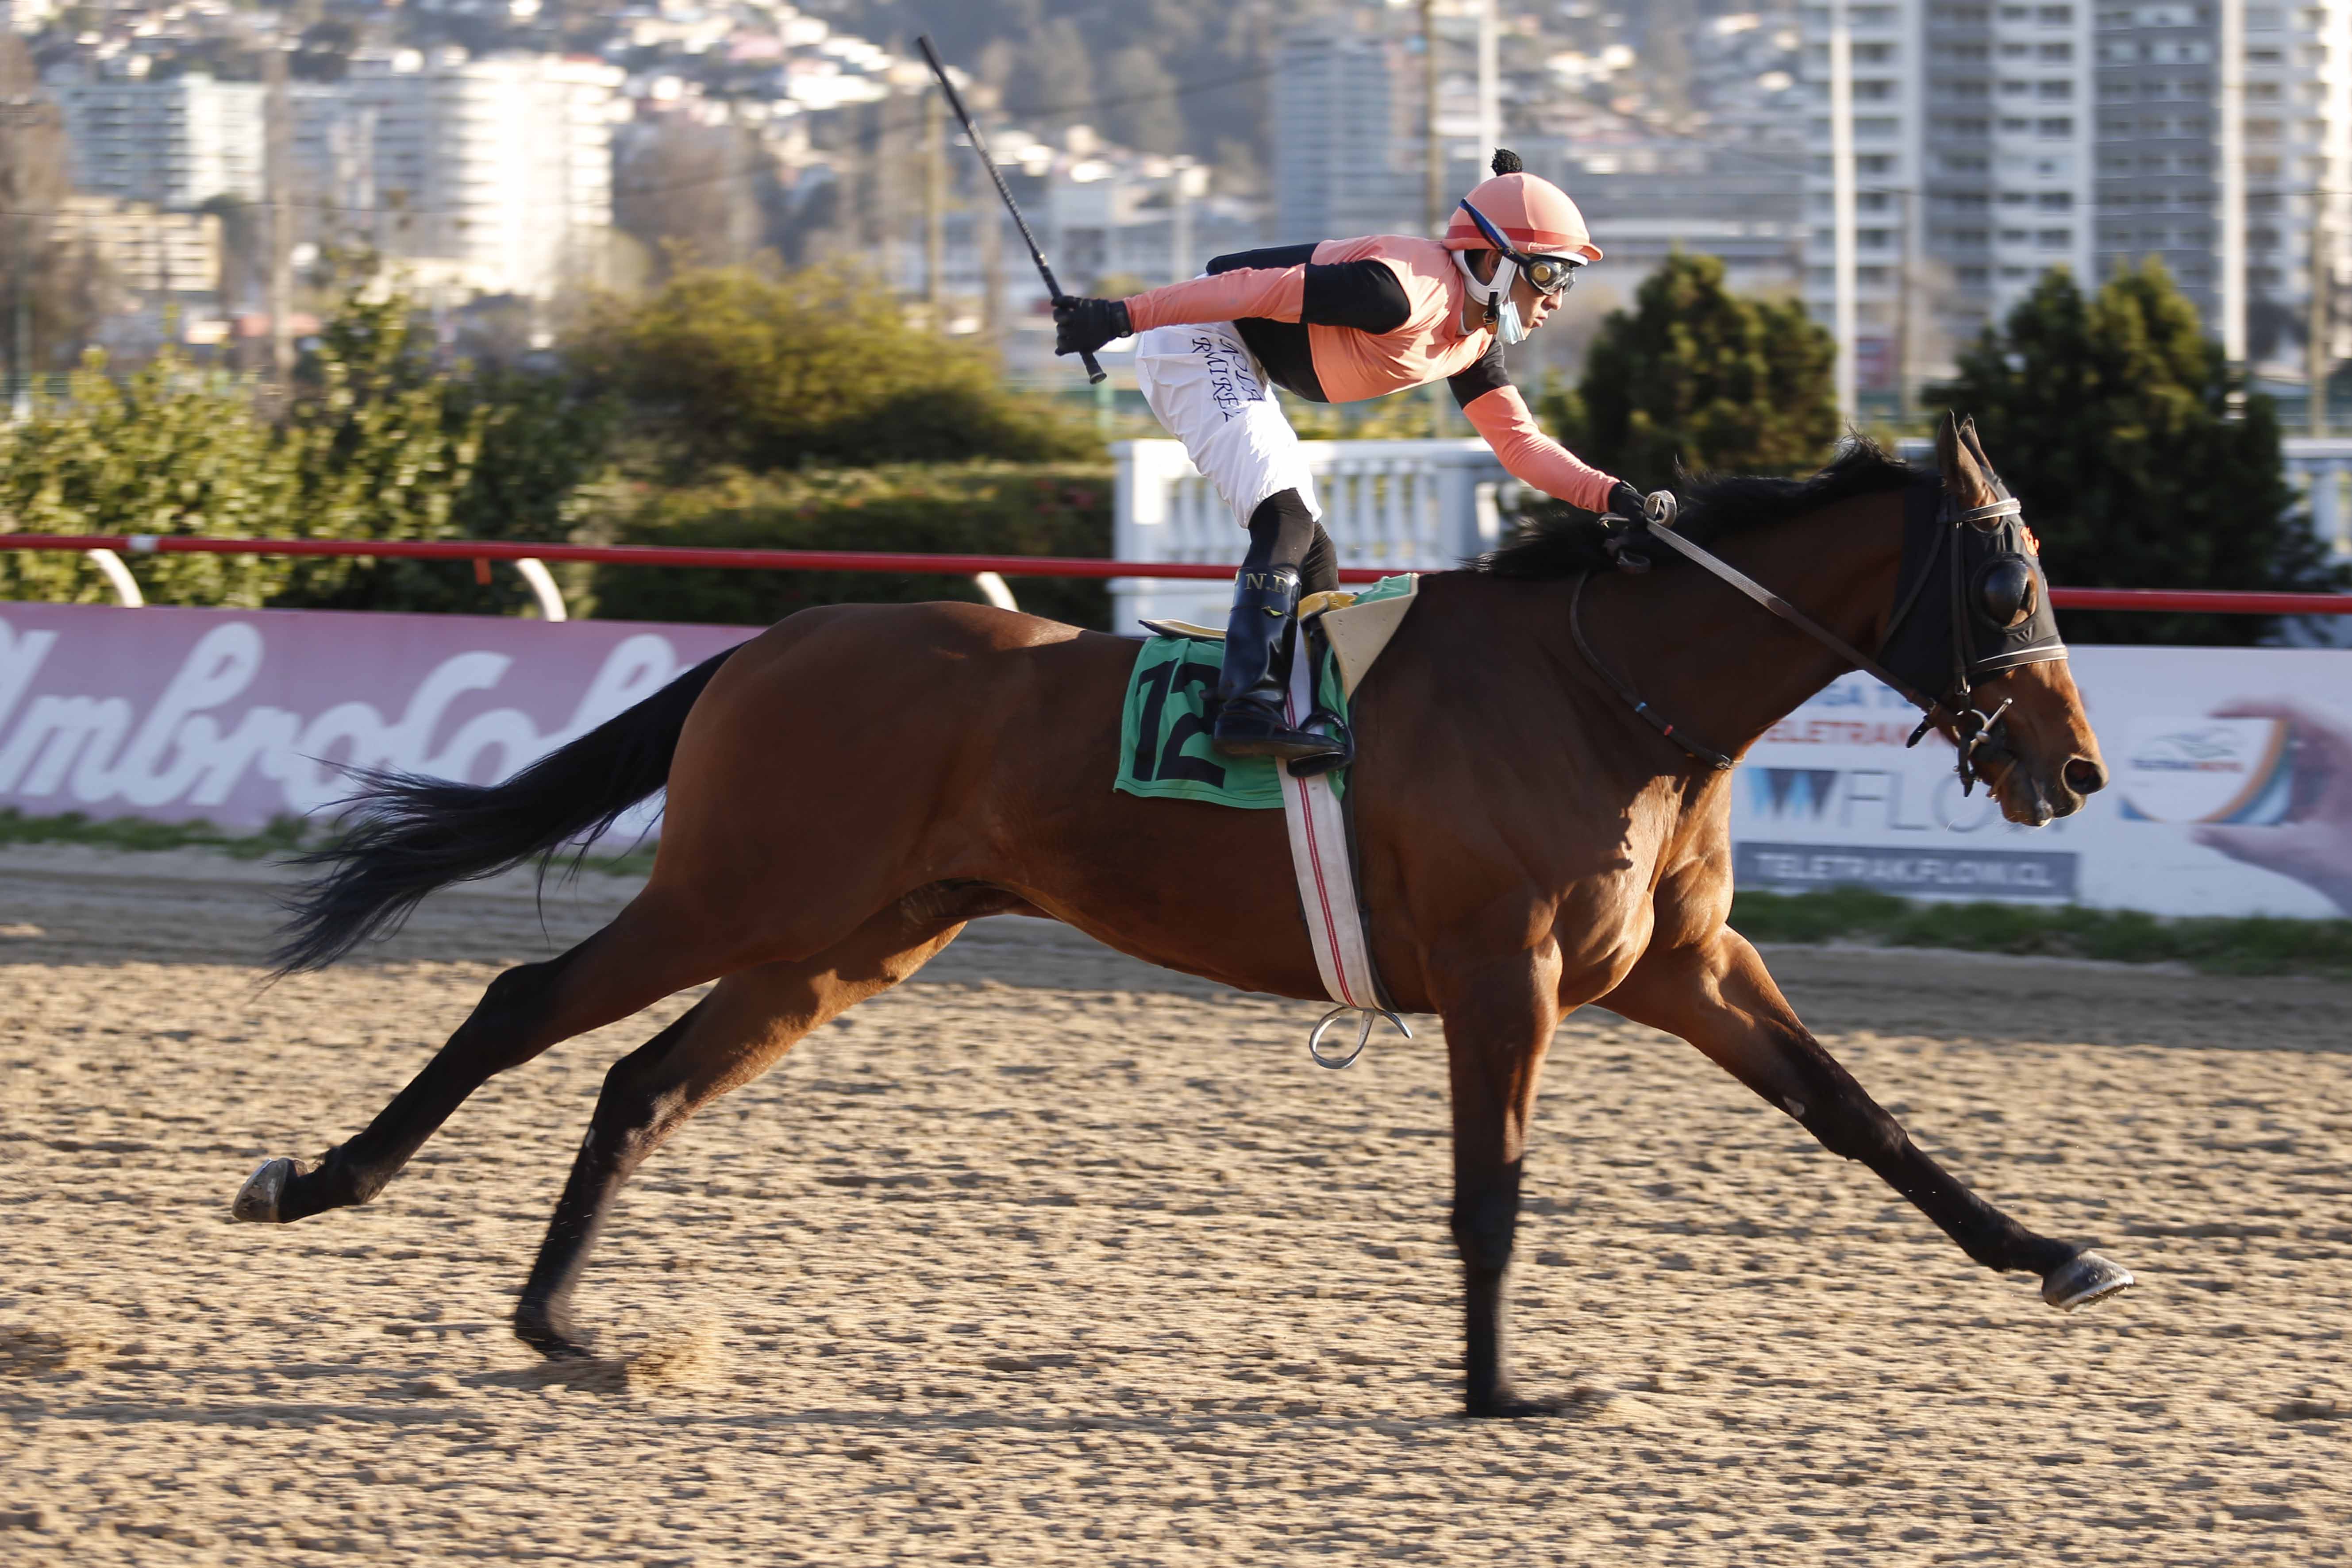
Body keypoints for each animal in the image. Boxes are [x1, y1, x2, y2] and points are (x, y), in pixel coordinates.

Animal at [232, 414, 2132, 1418]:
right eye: (2005, 577)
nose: (2076, 766)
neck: (1612, 695)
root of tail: (773, 643)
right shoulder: (1501, 974)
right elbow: (1493, 1195)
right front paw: (1504, 1389)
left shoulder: (1680, 965)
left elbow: (1864, 1117)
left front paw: (2053, 1253)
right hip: (741, 888)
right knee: (520, 1003)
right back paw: (321, 1183)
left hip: (850, 939)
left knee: (638, 1086)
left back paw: (568, 1330)